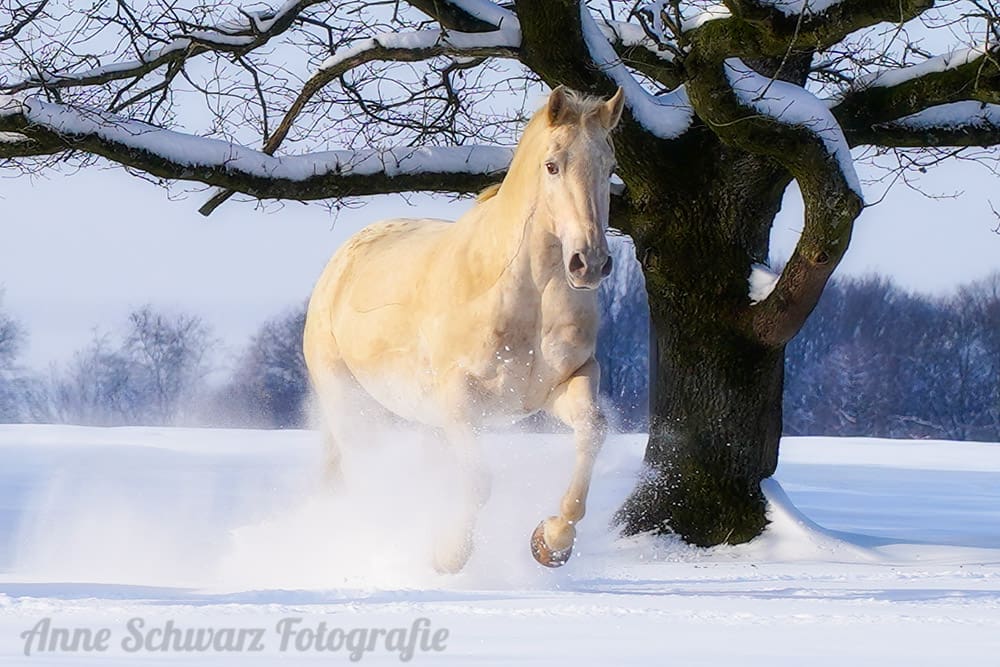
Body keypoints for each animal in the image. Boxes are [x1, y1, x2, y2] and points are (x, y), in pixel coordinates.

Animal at [303, 85, 625, 572]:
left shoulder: (568, 382)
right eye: (553, 165)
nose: (588, 263)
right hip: (352, 405)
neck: (525, 295)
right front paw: (449, 554)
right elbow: (478, 480)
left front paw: (552, 543)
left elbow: (592, 433)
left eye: (609, 167)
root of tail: (341, 262)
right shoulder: (458, 400)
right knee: (367, 474)